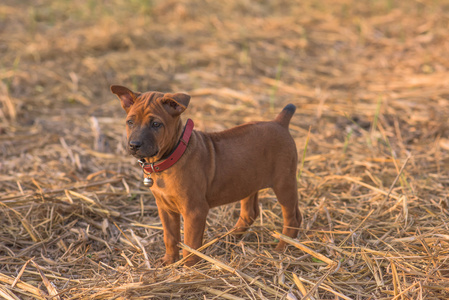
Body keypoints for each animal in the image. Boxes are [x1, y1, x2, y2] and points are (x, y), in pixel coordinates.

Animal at [111, 85, 300, 266]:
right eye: (130, 122)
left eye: (156, 124)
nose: (134, 145)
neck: (172, 156)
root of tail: (279, 123)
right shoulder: (165, 208)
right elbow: (170, 237)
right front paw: (169, 260)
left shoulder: (195, 211)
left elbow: (191, 243)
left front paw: (189, 267)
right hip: (249, 183)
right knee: (251, 213)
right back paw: (229, 239)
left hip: (284, 183)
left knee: (292, 219)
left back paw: (281, 249)